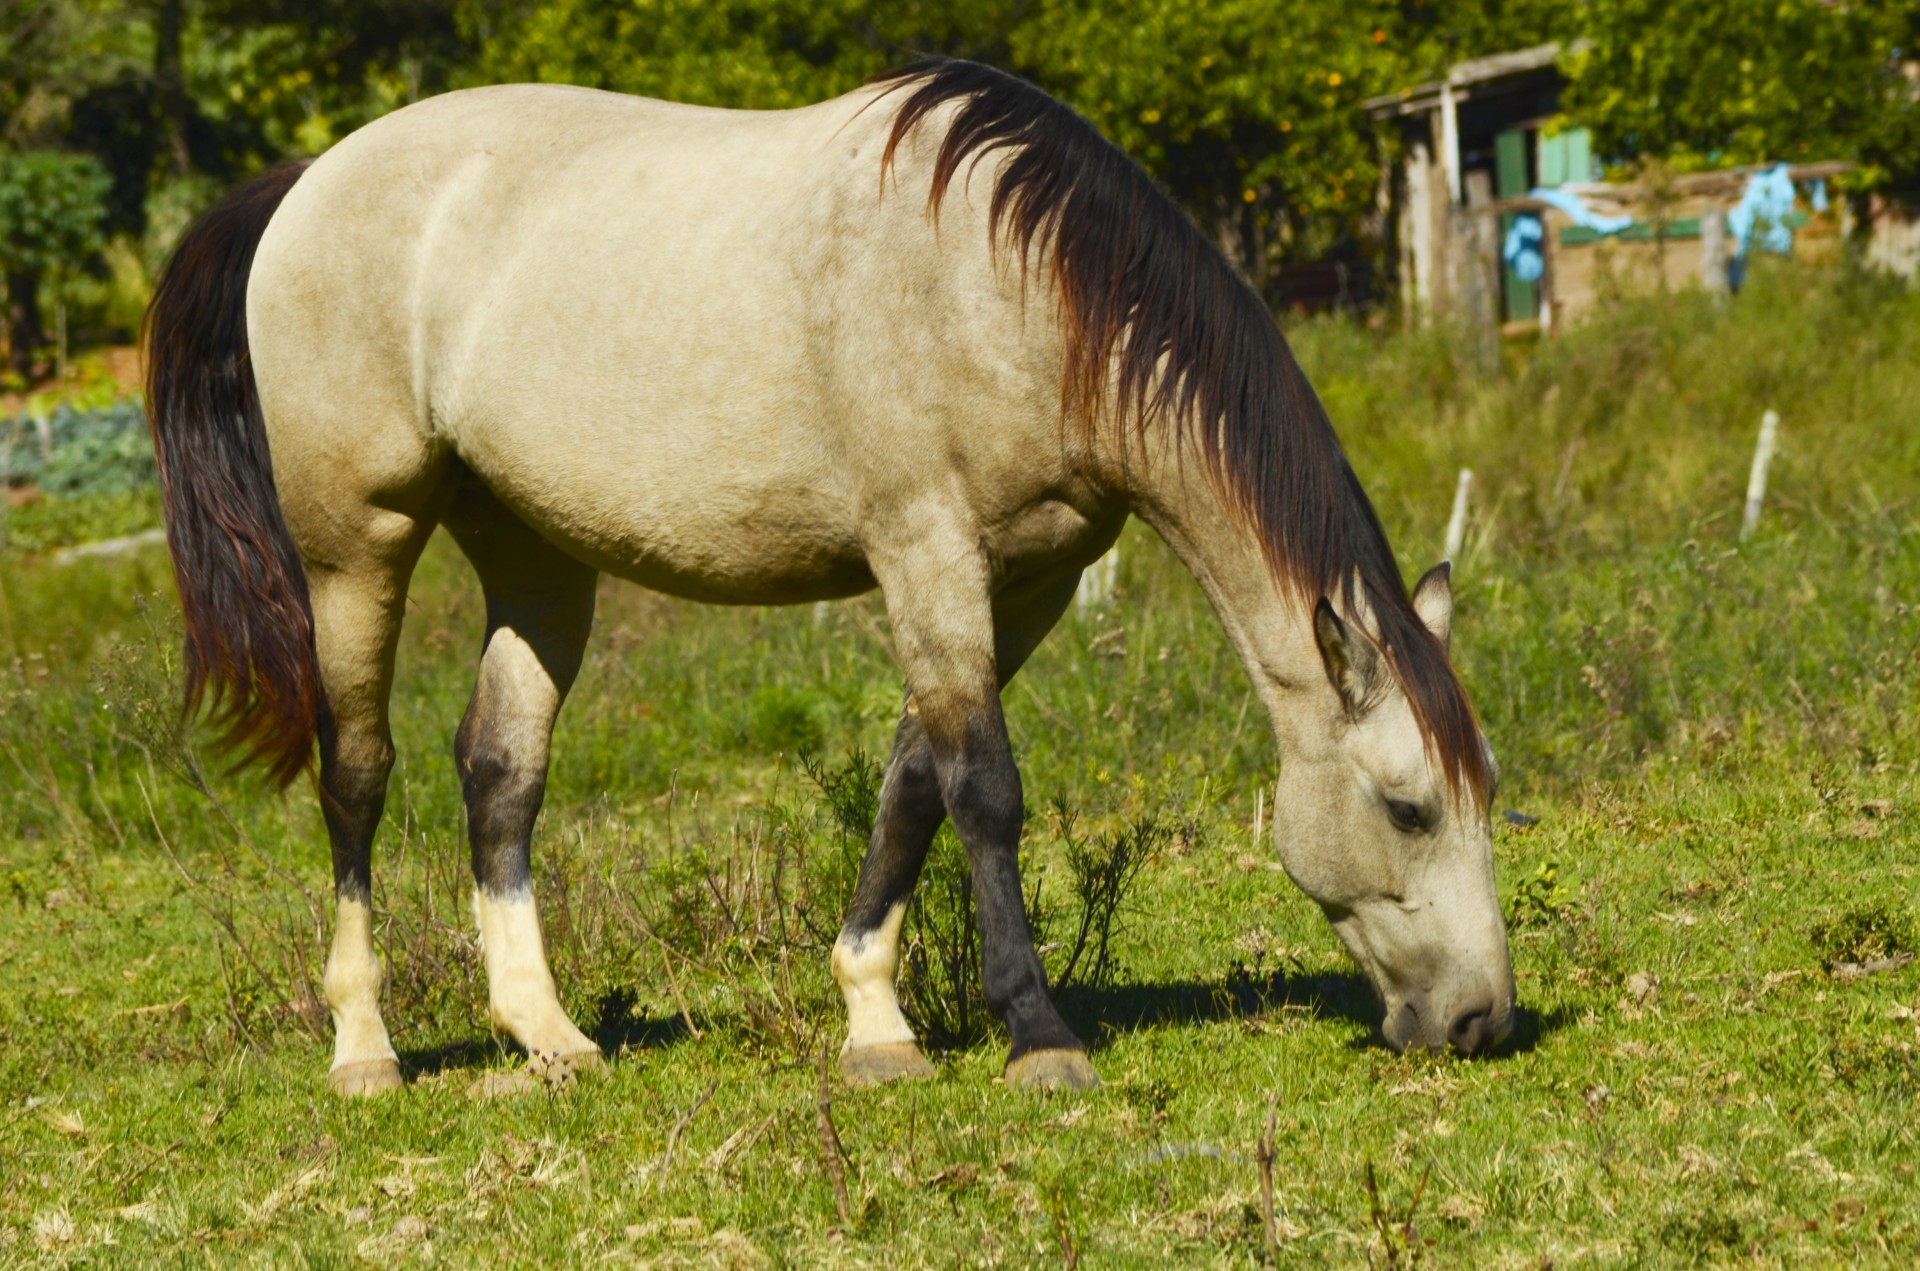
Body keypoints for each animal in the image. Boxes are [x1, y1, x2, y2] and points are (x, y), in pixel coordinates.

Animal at [142, 57, 1505, 1098]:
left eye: (1483, 792)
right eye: (1405, 808)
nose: (1482, 1017)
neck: (1014, 281)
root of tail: (307, 180)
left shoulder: (1024, 581)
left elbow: (912, 781)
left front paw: (876, 1019)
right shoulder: (925, 550)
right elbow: (982, 787)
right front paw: (1038, 1034)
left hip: (535, 556)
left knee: (501, 769)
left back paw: (549, 1032)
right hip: (354, 549)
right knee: (357, 773)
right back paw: (364, 1047)